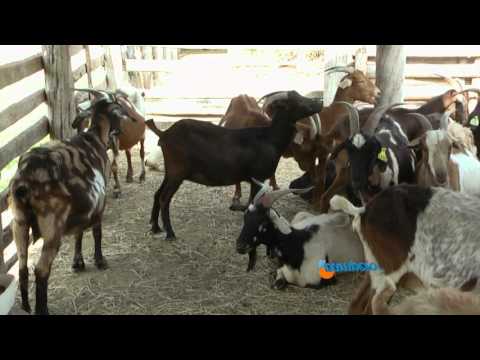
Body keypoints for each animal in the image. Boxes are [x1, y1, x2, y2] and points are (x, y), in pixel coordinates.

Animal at [142, 90, 322, 243]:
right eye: (295, 101)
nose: (319, 102)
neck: (269, 138)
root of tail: (164, 133)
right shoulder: (258, 178)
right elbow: (252, 204)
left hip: (171, 172)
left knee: (157, 194)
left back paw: (156, 227)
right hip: (177, 173)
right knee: (164, 198)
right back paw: (170, 234)